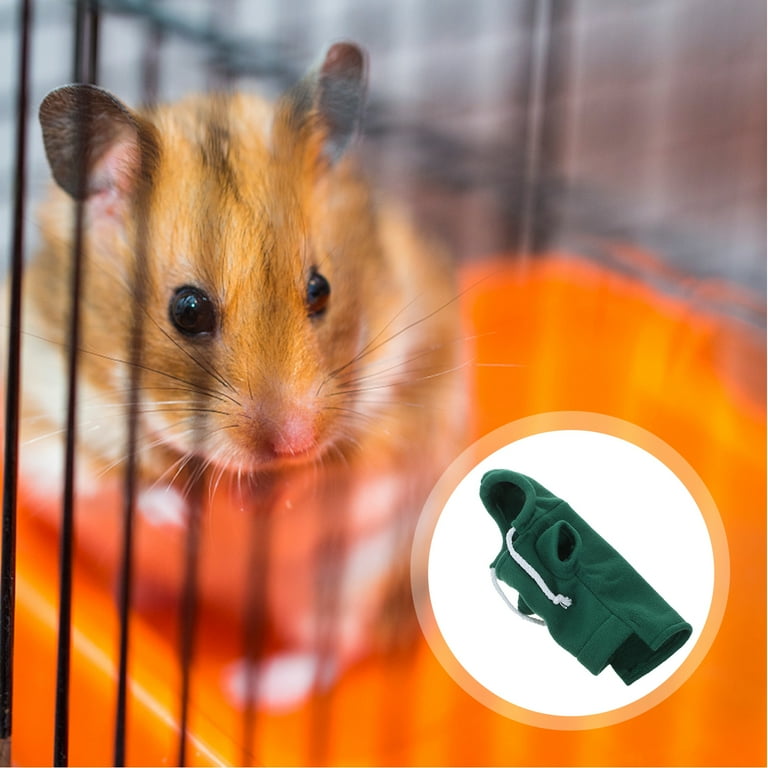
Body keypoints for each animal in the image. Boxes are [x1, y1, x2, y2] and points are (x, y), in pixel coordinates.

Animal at [12, 43, 466, 708]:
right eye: (188, 310)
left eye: (321, 289)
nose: (296, 443)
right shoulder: (44, 414)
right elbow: (119, 479)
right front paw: (189, 517)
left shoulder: (404, 410)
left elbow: (338, 471)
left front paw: (262, 501)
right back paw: (142, 600)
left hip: (347, 583)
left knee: (332, 650)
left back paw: (249, 688)